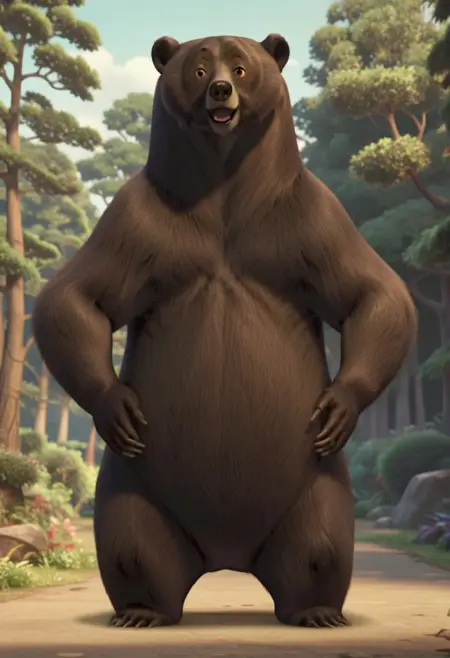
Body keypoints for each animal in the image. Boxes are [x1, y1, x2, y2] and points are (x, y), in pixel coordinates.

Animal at [32, 33, 417, 629]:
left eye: (240, 66)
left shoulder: (312, 215)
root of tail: (226, 557)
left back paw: (317, 611)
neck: (224, 188)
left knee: (320, 545)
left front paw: (337, 407)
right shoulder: (138, 217)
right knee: (132, 544)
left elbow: (374, 293)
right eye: (196, 67)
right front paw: (118, 405)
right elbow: (74, 298)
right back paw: (141, 610)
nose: (219, 90)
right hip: (134, 486)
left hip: (314, 487)